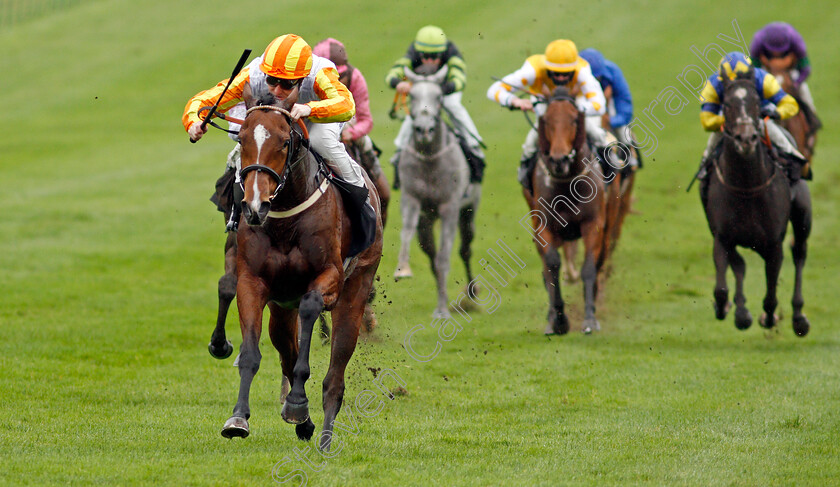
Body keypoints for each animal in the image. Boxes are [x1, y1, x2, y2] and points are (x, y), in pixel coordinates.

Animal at [218, 89, 386, 452]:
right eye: (242, 138)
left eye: (284, 142)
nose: (254, 206)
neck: (286, 220)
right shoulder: (252, 282)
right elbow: (251, 353)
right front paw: (238, 419)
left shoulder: (330, 278)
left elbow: (310, 309)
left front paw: (297, 403)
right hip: (281, 310)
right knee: (286, 349)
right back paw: (305, 421)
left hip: (356, 288)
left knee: (335, 373)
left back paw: (323, 435)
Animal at [392, 66, 480, 320]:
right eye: (411, 95)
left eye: (439, 97)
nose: (423, 129)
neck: (430, 158)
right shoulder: (412, 200)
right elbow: (407, 233)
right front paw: (403, 268)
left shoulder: (449, 206)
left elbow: (444, 258)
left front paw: (442, 310)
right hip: (427, 220)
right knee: (429, 251)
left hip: (469, 210)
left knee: (465, 249)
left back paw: (472, 291)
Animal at [528, 86, 608, 336]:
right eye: (546, 120)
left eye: (574, 119)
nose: (558, 159)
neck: (566, 184)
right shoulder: (543, 225)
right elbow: (552, 265)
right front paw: (559, 320)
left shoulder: (593, 223)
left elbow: (589, 268)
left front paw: (590, 318)